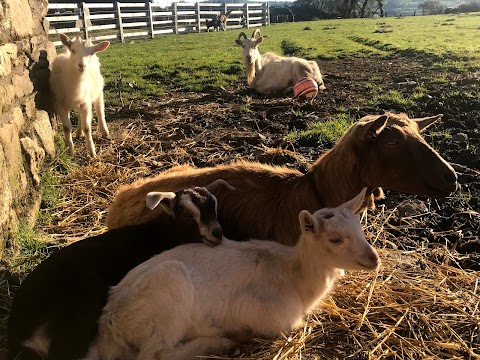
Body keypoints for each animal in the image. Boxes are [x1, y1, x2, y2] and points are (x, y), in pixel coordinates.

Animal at [88, 188, 378, 360]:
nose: (373, 259)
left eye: (360, 228)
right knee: (156, 354)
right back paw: (222, 342)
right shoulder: (274, 320)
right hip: (167, 295)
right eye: (335, 239)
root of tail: (109, 325)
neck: (292, 275)